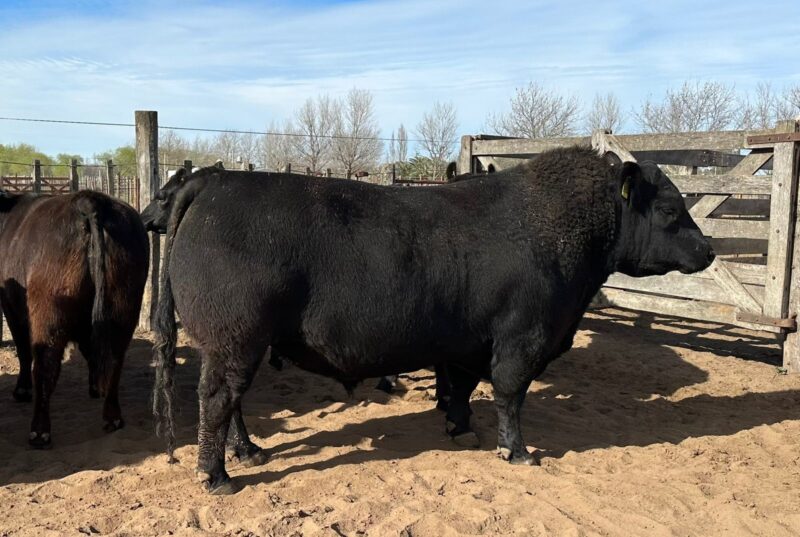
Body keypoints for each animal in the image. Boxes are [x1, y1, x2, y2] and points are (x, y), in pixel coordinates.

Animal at [0, 189, 148, 448]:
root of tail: (90, 198)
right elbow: (91, 350)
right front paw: (95, 386)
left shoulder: (10, 306)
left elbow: (22, 349)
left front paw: (22, 391)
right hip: (123, 307)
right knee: (114, 358)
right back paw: (112, 417)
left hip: (48, 313)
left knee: (45, 365)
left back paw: (39, 432)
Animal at [142, 147, 712, 494]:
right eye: (669, 208)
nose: (708, 250)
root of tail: (216, 185)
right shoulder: (523, 338)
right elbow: (510, 394)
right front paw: (517, 451)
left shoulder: (466, 341)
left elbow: (461, 387)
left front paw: (460, 428)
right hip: (234, 338)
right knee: (218, 398)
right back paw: (217, 475)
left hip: (238, 342)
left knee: (232, 402)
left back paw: (248, 452)